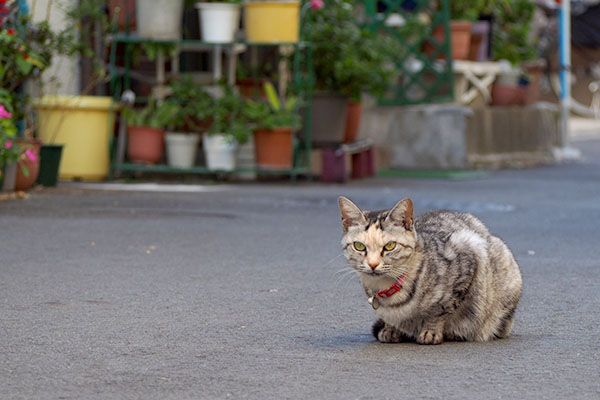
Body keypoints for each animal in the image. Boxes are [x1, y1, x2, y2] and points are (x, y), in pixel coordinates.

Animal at [340, 197, 524, 344]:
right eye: (359, 246)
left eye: (390, 246)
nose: (372, 264)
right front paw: (391, 329)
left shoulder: (469, 253)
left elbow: (440, 310)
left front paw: (431, 331)